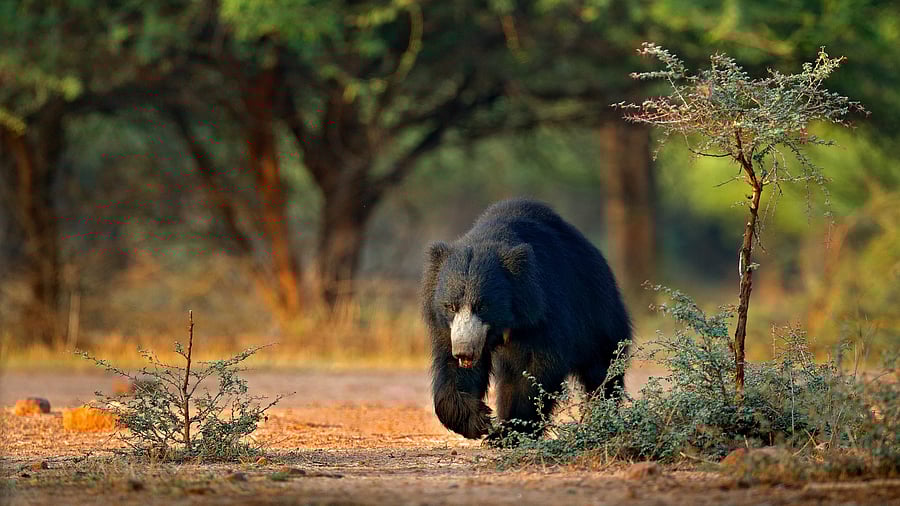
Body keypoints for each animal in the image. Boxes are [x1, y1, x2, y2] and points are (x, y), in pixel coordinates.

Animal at [421, 198, 632, 439]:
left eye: (483, 306)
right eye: (451, 306)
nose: (465, 351)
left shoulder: (543, 311)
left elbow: (533, 369)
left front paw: (506, 432)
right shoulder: (448, 328)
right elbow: (451, 367)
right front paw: (478, 420)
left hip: (597, 312)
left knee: (603, 366)